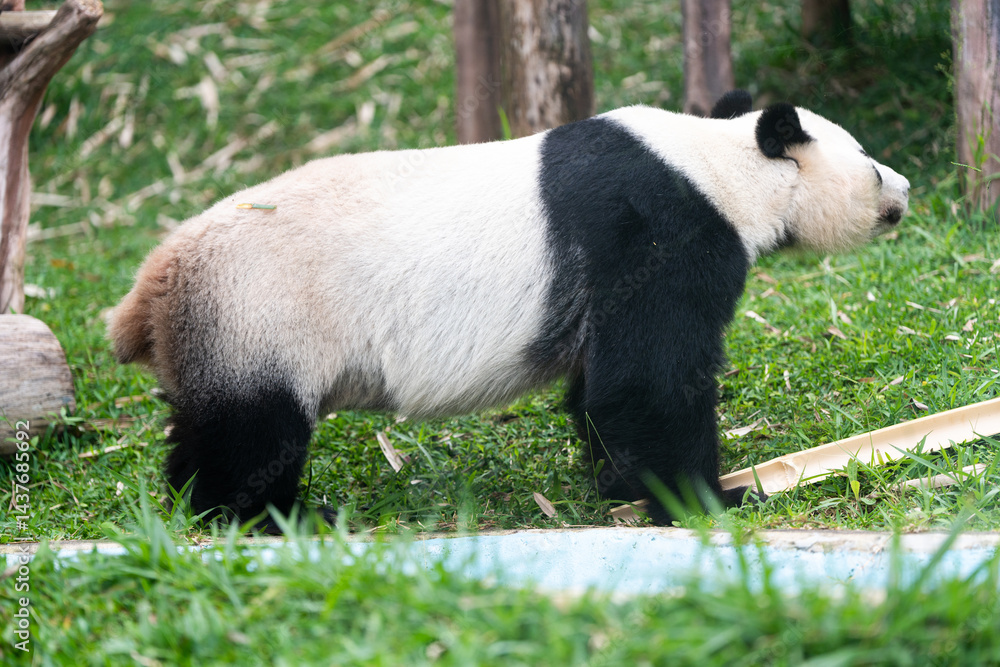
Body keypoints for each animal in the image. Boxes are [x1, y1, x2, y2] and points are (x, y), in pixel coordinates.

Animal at [109, 90, 909, 529]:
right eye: (870, 164)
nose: (903, 190)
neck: (722, 164)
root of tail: (152, 285)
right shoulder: (657, 230)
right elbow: (649, 381)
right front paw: (709, 498)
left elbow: (603, 387)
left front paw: (620, 484)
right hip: (260, 312)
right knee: (254, 431)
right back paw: (273, 515)